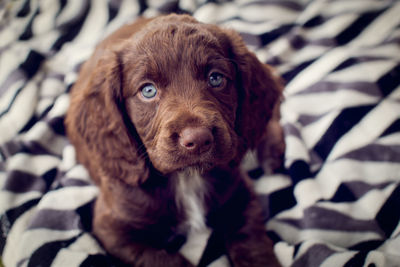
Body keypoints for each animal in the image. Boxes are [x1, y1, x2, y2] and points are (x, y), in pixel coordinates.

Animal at [65, 13, 282, 266]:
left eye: (216, 78)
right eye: (148, 90)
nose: (198, 139)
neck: (185, 178)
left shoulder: (239, 195)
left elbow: (251, 241)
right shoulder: (111, 228)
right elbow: (162, 259)